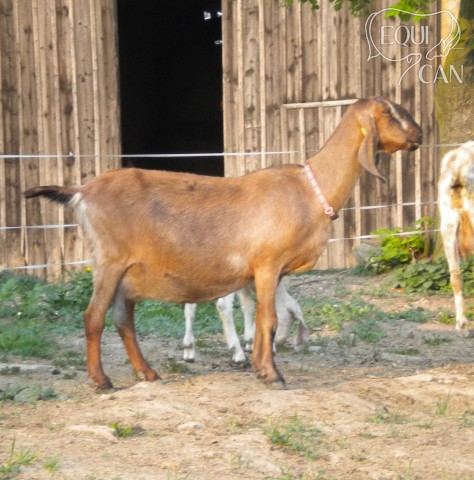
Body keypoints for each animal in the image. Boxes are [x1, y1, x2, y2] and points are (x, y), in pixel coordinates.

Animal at [24, 96, 421, 390]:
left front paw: (260, 366)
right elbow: (268, 319)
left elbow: (265, 317)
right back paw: (101, 380)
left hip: (127, 274)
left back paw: (148, 373)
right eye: (389, 112)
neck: (310, 189)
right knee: (93, 317)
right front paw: (271, 374)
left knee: (123, 319)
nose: (419, 133)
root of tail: (82, 191)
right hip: (109, 262)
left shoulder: (271, 273)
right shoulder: (267, 265)